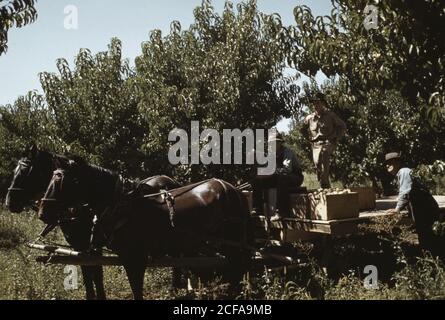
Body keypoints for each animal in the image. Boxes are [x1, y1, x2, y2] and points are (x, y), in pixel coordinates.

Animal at [39, 158, 253, 300]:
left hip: (232, 244)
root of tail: (234, 189)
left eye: (59, 180)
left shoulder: (135, 259)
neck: (122, 206)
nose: (42, 213)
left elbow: (136, 291)